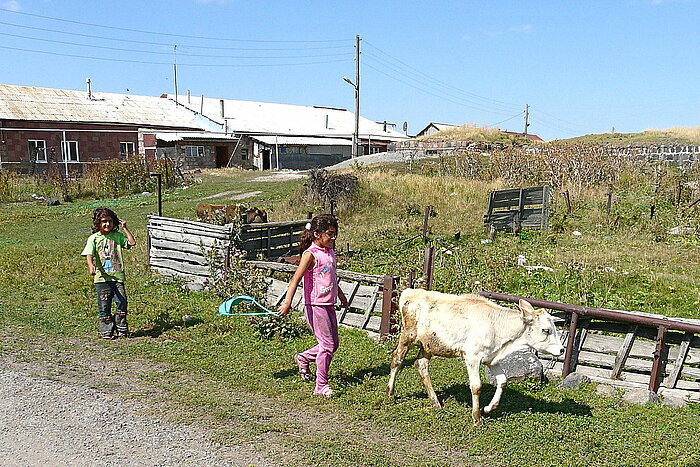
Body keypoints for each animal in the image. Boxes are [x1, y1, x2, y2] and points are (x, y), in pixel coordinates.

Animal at [386, 288, 568, 426]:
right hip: (408, 335)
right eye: (546, 330)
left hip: (429, 344)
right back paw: (390, 393)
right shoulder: (472, 356)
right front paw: (477, 417)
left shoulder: (492, 359)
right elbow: (476, 386)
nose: (561, 349)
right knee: (397, 360)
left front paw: (488, 408)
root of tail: (411, 291)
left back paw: (435, 402)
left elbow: (503, 381)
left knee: (421, 365)